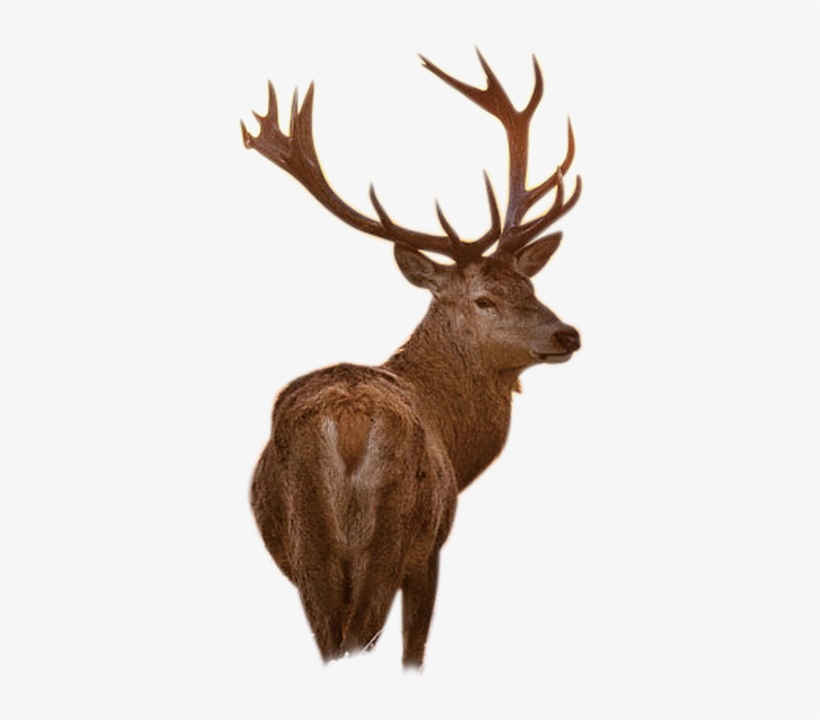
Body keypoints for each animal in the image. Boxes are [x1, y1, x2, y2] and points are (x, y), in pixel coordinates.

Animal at [242, 51, 581, 669]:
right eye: (484, 298)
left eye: (530, 284)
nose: (568, 334)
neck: (458, 442)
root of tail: (349, 423)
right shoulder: (432, 548)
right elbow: (414, 650)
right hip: (392, 535)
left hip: (310, 549)